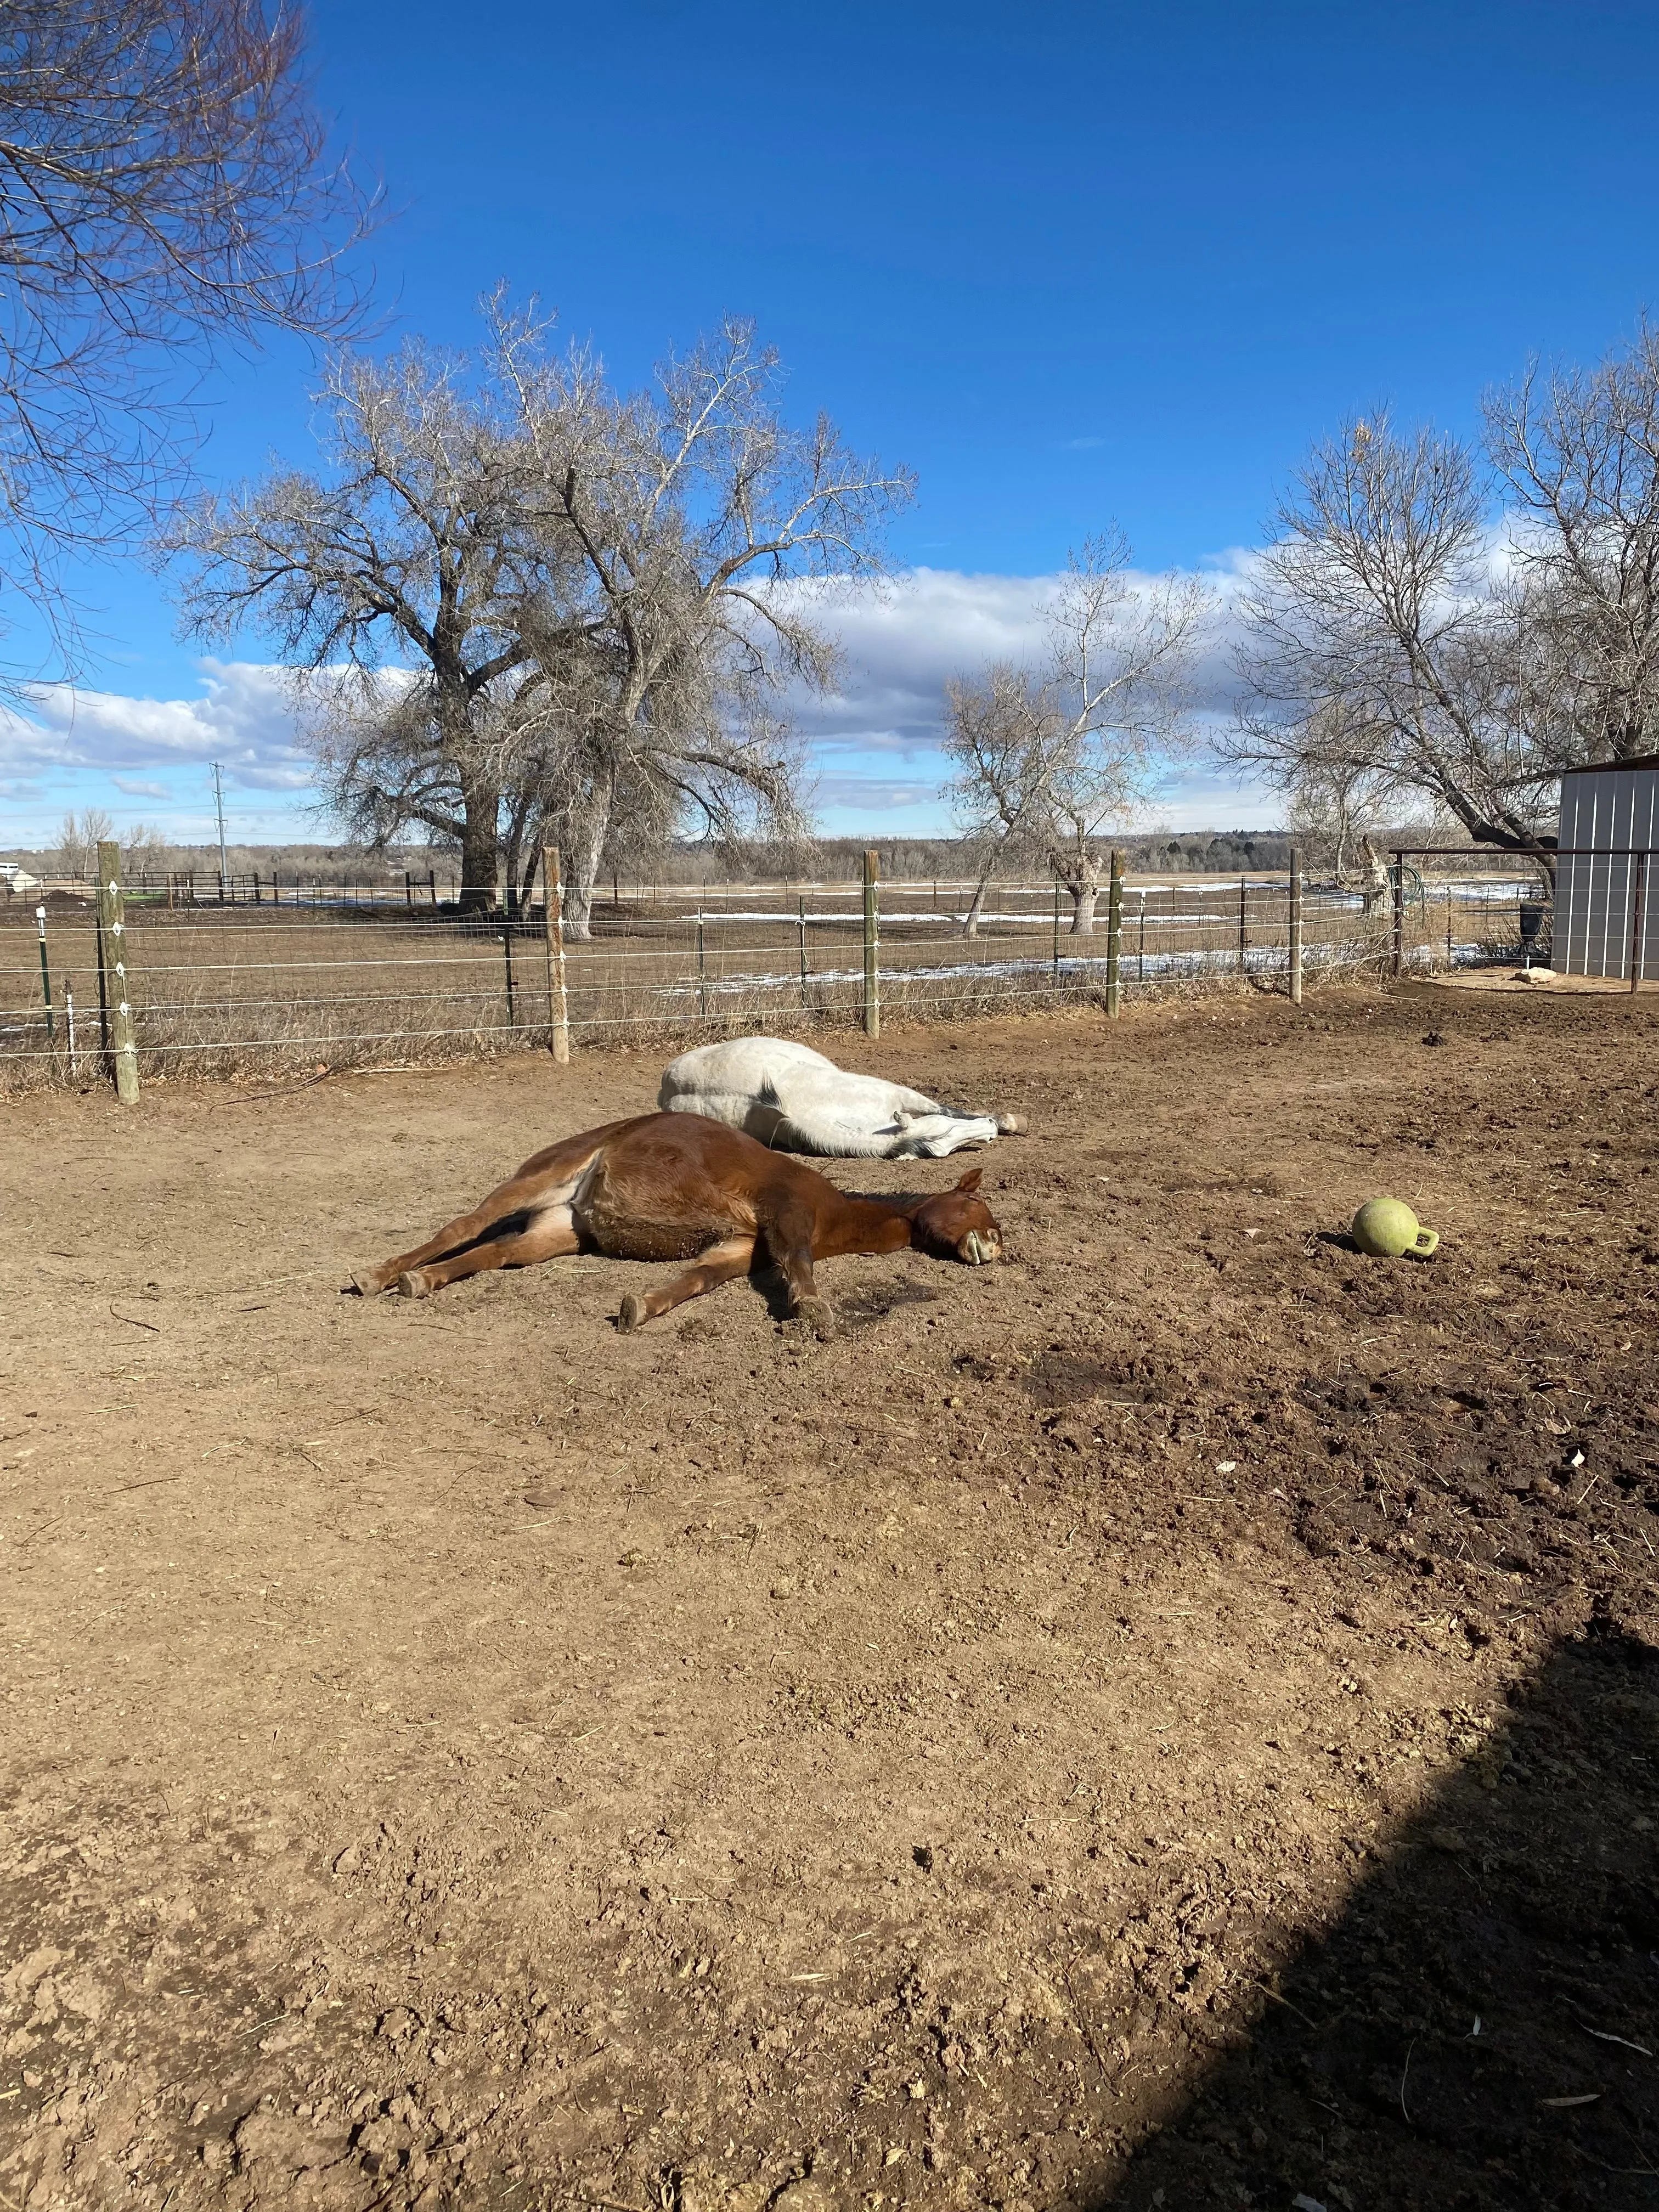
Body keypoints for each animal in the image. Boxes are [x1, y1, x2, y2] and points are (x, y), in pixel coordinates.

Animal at [349, 1111, 1004, 1335]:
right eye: (980, 1213)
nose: (994, 1252)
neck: (834, 1211)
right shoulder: (787, 1218)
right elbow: (801, 1268)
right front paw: (816, 1314)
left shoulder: (739, 1248)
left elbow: (695, 1282)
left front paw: (640, 1308)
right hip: (538, 1178)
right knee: (463, 1228)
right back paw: (377, 1276)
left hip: (559, 1231)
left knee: (495, 1254)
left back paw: (420, 1283)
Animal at [658, 1035, 1027, 1158]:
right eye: (944, 1142)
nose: (990, 1130)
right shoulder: (896, 1094)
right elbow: (947, 1109)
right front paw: (1005, 1122)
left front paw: (1008, 1122)